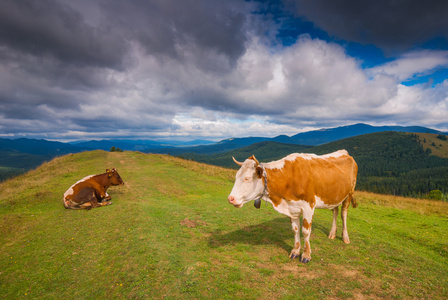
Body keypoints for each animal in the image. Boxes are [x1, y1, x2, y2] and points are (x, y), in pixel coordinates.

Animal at [228, 150, 356, 262]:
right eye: (236, 176)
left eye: (247, 178)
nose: (230, 198)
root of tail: (345, 153)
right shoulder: (292, 208)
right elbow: (295, 230)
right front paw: (295, 251)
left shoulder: (309, 206)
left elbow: (305, 231)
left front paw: (306, 255)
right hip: (335, 195)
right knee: (335, 210)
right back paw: (332, 233)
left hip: (349, 193)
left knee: (343, 213)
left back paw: (345, 237)